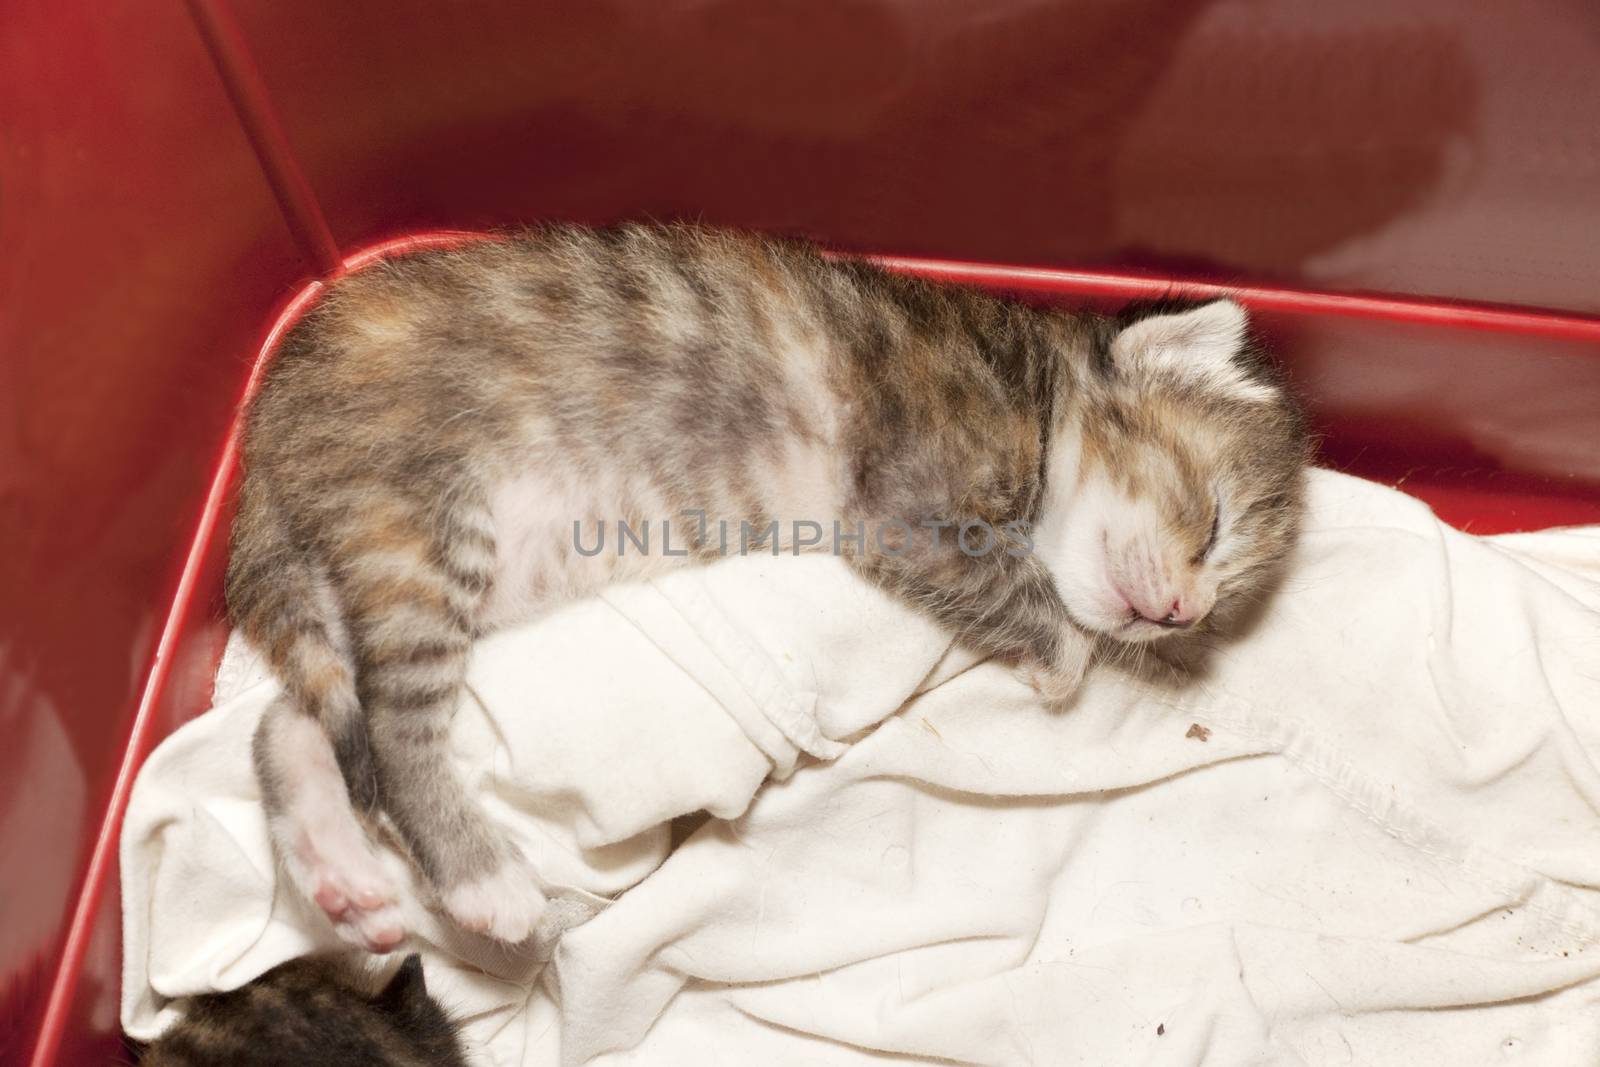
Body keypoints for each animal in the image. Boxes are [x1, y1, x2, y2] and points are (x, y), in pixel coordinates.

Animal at [228, 220, 1312, 947]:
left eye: (1219, 605)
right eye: (1215, 521)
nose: (1178, 610)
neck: (1030, 389)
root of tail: (265, 425)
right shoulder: (913, 502)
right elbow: (1025, 596)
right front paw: (1059, 658)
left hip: (377, 561)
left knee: (289, 716)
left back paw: (336, 872)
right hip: (416, 523)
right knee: (390, 726)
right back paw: (479, 879)